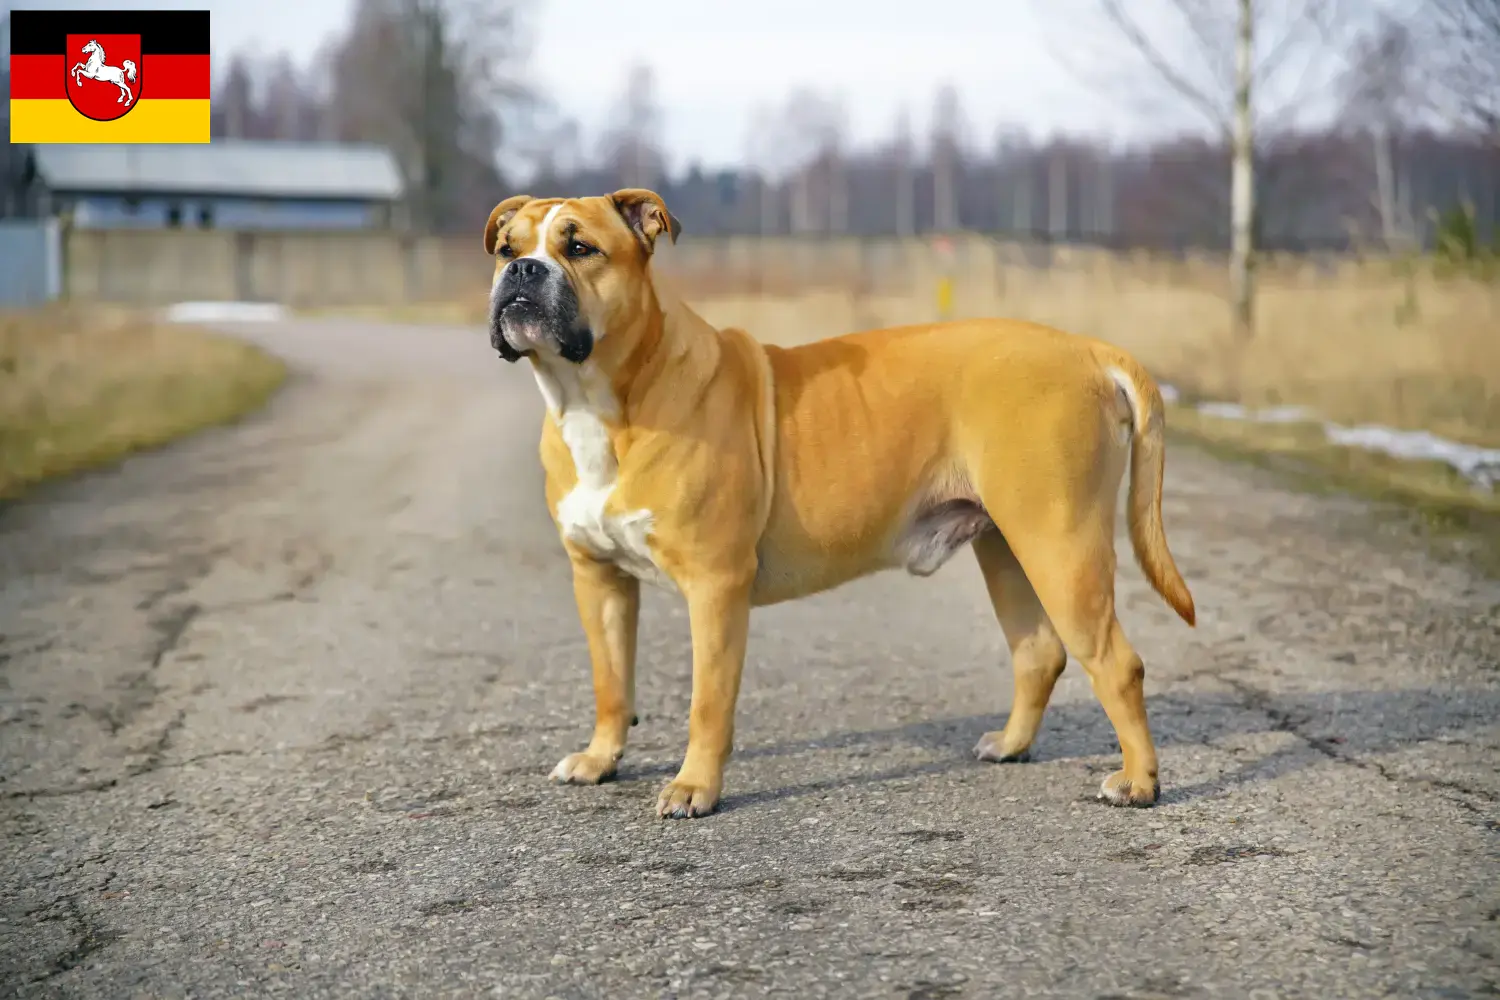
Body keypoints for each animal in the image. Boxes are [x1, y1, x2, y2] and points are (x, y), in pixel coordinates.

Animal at [486, 187, 1200, 821]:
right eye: (505, 247)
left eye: (580, 247)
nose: (522, 271)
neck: (597, 397)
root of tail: (1088, 349)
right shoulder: (598, 578)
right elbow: (611, 682)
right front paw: (599, 759)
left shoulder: (715, 587)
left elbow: (708, 702)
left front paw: (694, 788)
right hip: (1007, 546)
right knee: (1039, 652)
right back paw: (1010, 746)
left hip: (1059, 543)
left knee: (1117, 664)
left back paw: (1138, 782)